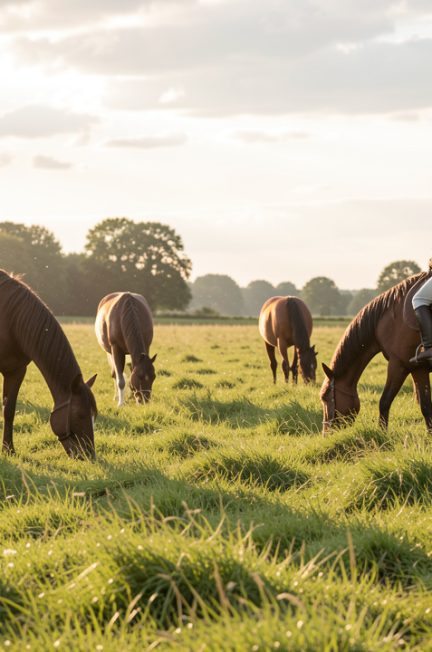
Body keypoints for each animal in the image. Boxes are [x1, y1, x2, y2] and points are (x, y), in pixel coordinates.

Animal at [0, 270, 97, 458]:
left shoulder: (16, 371)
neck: (10, 320)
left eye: (94, 414)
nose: (89, 454)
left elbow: (9, 411)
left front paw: (8, 449)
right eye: (80, 415)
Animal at [320, 272, 432, 434]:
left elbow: (385, 402)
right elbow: (426, 406)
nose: (326, 433)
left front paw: (382, 433)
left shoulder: (401, 366)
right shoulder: (418, 369)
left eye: (325, 397)